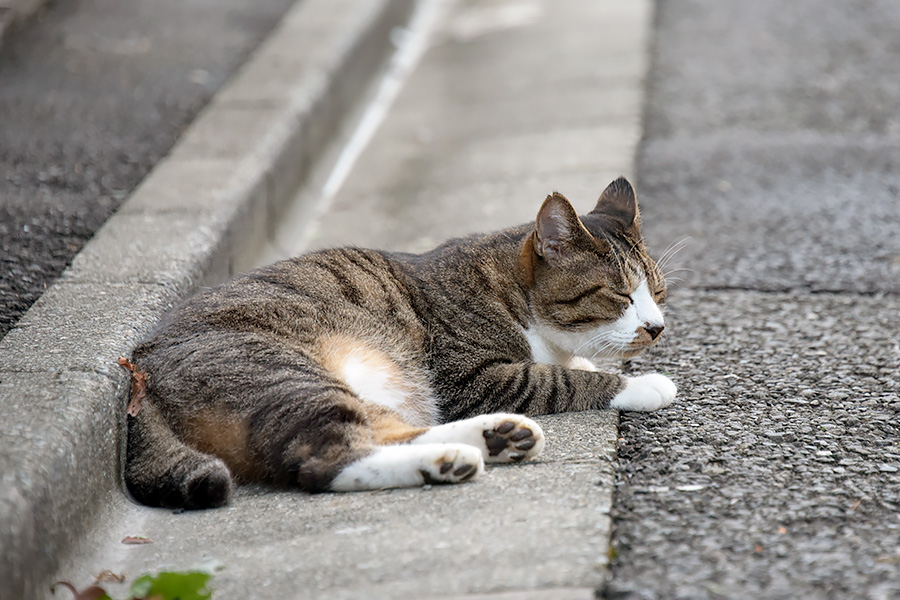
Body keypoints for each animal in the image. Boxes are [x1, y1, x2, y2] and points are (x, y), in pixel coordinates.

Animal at [125, 176, 676, 508]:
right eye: (620, 294)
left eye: (659, 292)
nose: (657, 327)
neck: (511, 292)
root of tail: (139, 366)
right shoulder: (471, 378)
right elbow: (557, 380)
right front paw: (641, 384)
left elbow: (574, 367)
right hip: (287, 375)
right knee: (329, 460)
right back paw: (447, 461)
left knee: (387, 429)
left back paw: (491, 438)